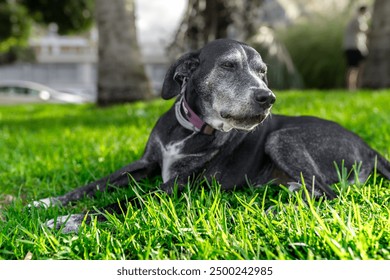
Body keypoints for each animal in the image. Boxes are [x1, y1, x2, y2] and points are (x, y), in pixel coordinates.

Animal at [31, 38, 390, 232]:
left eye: (263, 72)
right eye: (229, 65)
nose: (268, 97)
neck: (187, 129)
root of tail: (369, 147)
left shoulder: (179, 185)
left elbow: (124, 201)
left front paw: (70, 221)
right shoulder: (146, 163)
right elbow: (95, 184)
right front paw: (48, 201)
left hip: (281, 138)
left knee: (331, 195)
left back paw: (276, 210)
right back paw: (287, 193)